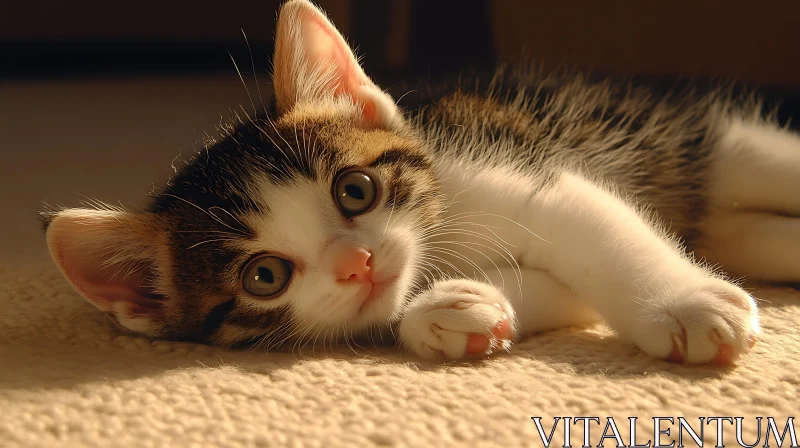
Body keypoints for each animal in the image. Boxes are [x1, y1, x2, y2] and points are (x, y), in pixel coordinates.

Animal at [40, 0, 796, 364]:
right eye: (264, 277)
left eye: (355, 191)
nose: (358, 263)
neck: (438, 233)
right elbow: (563, 294)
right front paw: (455, 309)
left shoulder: (517, 168)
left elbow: (595, 229)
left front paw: (684, 306)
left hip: (723, 143)